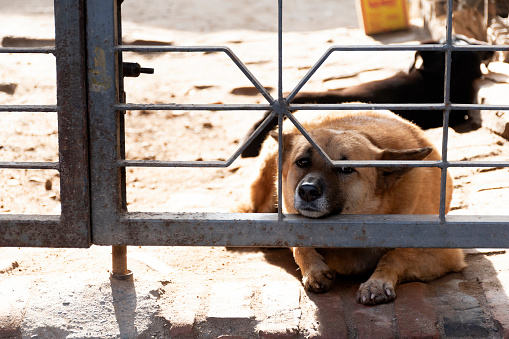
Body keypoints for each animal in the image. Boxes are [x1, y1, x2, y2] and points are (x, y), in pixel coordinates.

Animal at [236, 109, 466, 306]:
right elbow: (298, 243)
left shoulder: (443, 251)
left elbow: (396, 255)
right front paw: (314, 269)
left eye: (346, 169)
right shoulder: (287, 215)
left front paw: (377, 283)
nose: (307, 191)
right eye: (302, 162)